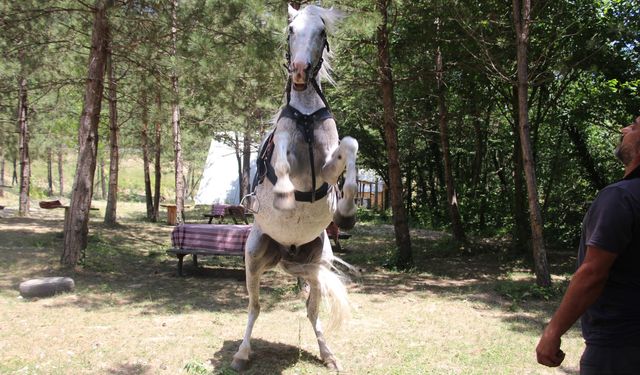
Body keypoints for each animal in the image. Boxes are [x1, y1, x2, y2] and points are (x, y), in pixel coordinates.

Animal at [231, 4, 360, 374]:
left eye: (321, 31)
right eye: (290, 29)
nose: (301, 71)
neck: (305, 115)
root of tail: (287, 251)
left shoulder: (330, 163)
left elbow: (350, 145)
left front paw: (346, 213)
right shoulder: (285, 146)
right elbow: (283, 162)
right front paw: (285, 196)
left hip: (317, 265)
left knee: (312, 311)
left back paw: (327, 354)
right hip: (253, 261)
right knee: (254, 307)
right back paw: (242, 354)